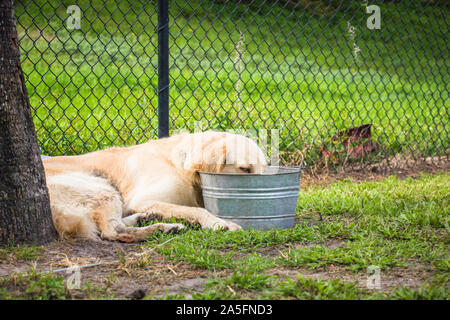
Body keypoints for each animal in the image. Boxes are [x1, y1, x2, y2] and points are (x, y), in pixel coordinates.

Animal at [42, 131, 268, 241]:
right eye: (245, 169)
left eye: (264, 169)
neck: (178, 165)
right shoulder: (142, 199)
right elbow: (198, 209)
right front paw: (219, 223)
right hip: (100, 187)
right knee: (112, 231)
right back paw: (163, 227)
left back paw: (151, 219)